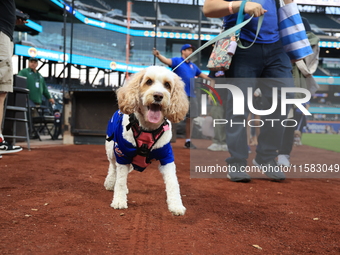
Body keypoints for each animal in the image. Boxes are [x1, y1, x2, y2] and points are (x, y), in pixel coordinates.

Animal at [103, 65, 189, 215]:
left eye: (167, 84)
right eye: (148, 81)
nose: (158, 95)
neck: (148, 129)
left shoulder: (166, 157)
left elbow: (173, 182)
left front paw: (176, 205)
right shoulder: (122, 154)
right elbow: (120, 181)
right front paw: (119, 200)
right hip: (111, 150)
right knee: (113, 168)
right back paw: (110, 183)